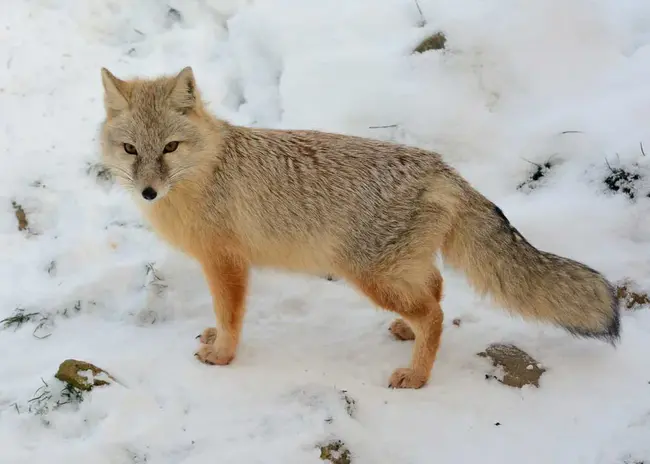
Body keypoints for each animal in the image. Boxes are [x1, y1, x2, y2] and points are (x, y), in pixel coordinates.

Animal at [96, 67, 616, 390]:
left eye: (169, 147)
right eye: (130, 149)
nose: (148, 192)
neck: (205, 170)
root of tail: (442, 168)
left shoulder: (227, 262)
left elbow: (231, 317)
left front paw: (224, 356)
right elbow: (221, 316)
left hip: (368, 276)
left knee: (434, 313)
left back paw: (417, 376)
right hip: (395, 272)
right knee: (435, 291)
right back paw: (408, 336)